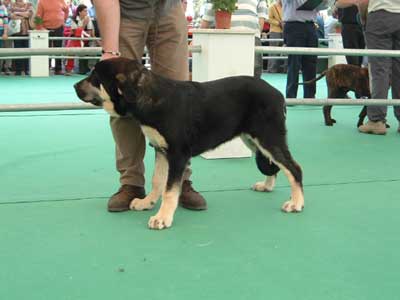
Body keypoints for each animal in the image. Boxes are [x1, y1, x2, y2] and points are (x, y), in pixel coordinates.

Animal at [73, 58, 304, 230]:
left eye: (95, 77)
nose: (75, 86)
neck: (151, 97)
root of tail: (278, 93)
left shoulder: (178, 154)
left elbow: (170, 189)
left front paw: (163, 217)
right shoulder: (161, 150)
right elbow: (158, 181)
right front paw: (147, 202)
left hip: (268, 137)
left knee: (294, 168)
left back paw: (296, 203)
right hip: (254, 139)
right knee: (274, 165)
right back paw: (267, 186)